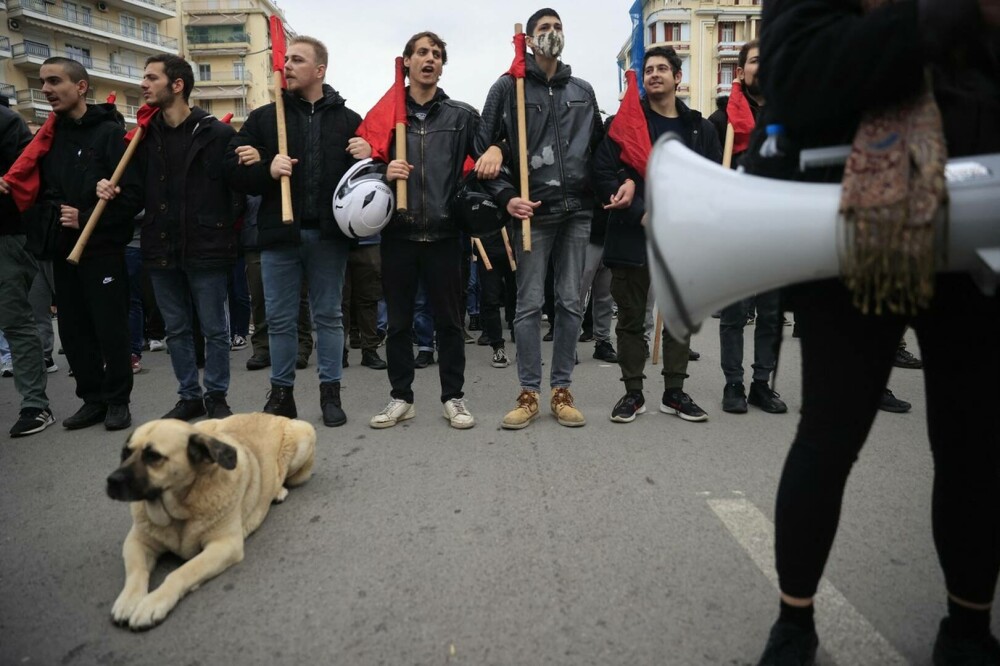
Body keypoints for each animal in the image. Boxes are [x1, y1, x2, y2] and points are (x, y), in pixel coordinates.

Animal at [106, 410, 316, 628]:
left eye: (153, 456)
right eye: (125, 453)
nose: (112, 481)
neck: (181, 509)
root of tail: (269, 413)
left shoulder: (224, 546)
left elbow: (181, 572)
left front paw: (153, 602)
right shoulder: (137, 541)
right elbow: (136, 571)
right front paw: (128, 600)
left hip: (304, 436)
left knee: (285, 477)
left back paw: (279, 490)